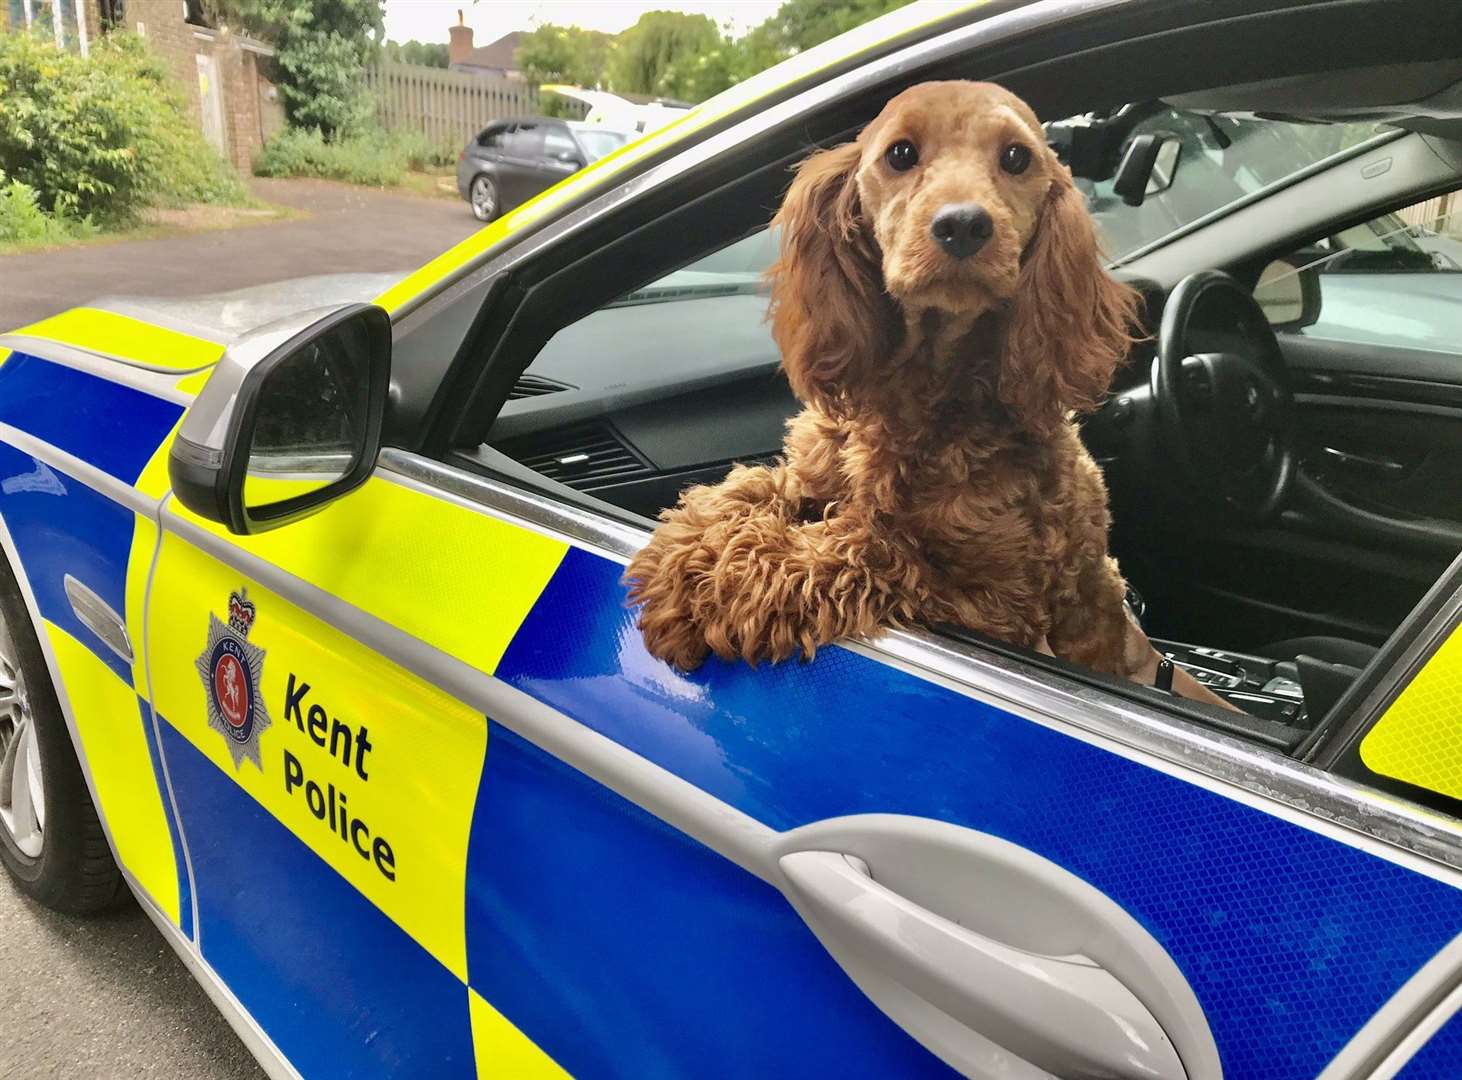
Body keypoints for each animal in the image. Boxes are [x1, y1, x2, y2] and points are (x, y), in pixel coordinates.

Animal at [622, 84, 1228, 710]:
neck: (924, 386)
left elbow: (870, 551)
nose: (963, 224)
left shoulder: (998, 603)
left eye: (1016, 158)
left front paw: (718, 580)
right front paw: (688, 545)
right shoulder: (816, 472)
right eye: (901, 154)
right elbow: (758, 485)